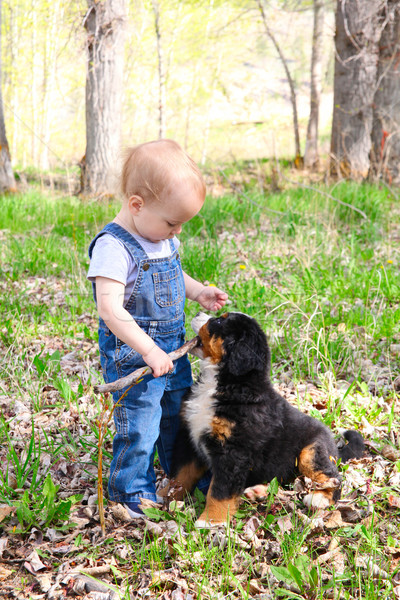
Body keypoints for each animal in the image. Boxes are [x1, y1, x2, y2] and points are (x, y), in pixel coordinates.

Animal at [167, 312, 364, 528]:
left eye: (218, 321)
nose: (196, 314)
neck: (227, 383)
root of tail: (334, 447)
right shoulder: (190, 437)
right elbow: (181, 475)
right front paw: (165, 498)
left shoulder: (233, 452)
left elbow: (219, 491)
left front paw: (210, 521)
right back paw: (257, 491)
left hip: (311, 452)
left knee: (334, 477)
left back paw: (319, 498)